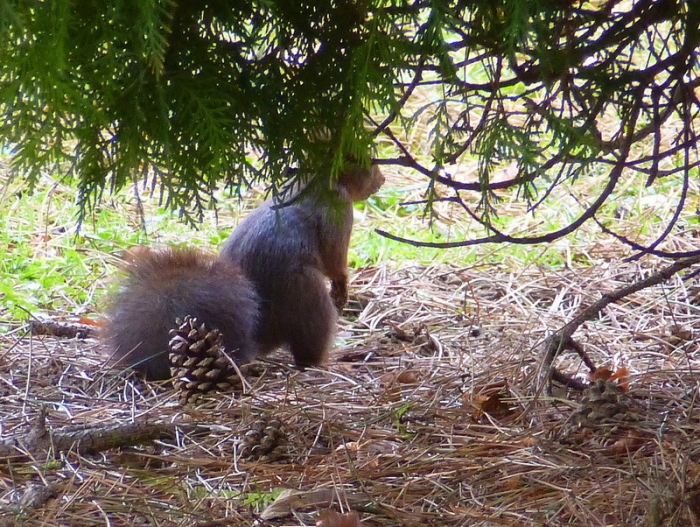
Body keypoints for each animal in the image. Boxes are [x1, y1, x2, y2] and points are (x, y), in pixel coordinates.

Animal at [219, 162, 385, 368]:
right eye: (370, 163)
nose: (382, 180)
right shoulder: (339, 208)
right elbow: (334, 258)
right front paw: (342, 286)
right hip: (307, 296)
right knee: (308, 350)